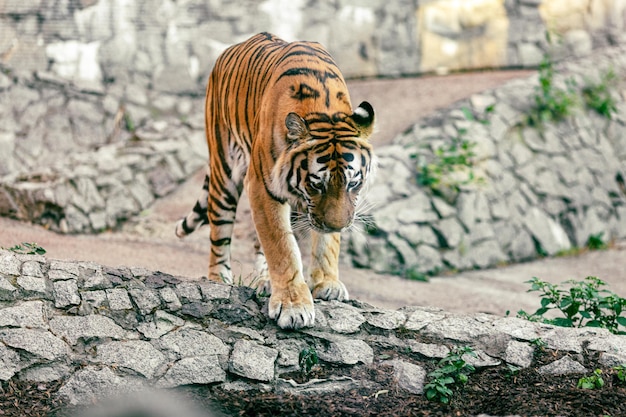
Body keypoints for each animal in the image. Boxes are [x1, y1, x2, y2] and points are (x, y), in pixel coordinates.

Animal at [173, 32, 372, 328]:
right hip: (224, 171)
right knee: (219, 235)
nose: (338, 225)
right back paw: (219, 280)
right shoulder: (263, 186)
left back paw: (265, 280)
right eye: (316, 184)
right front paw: (293, 306)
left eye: (353, 184)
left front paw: (328, 283)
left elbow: (326, 244)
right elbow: (282, 248)